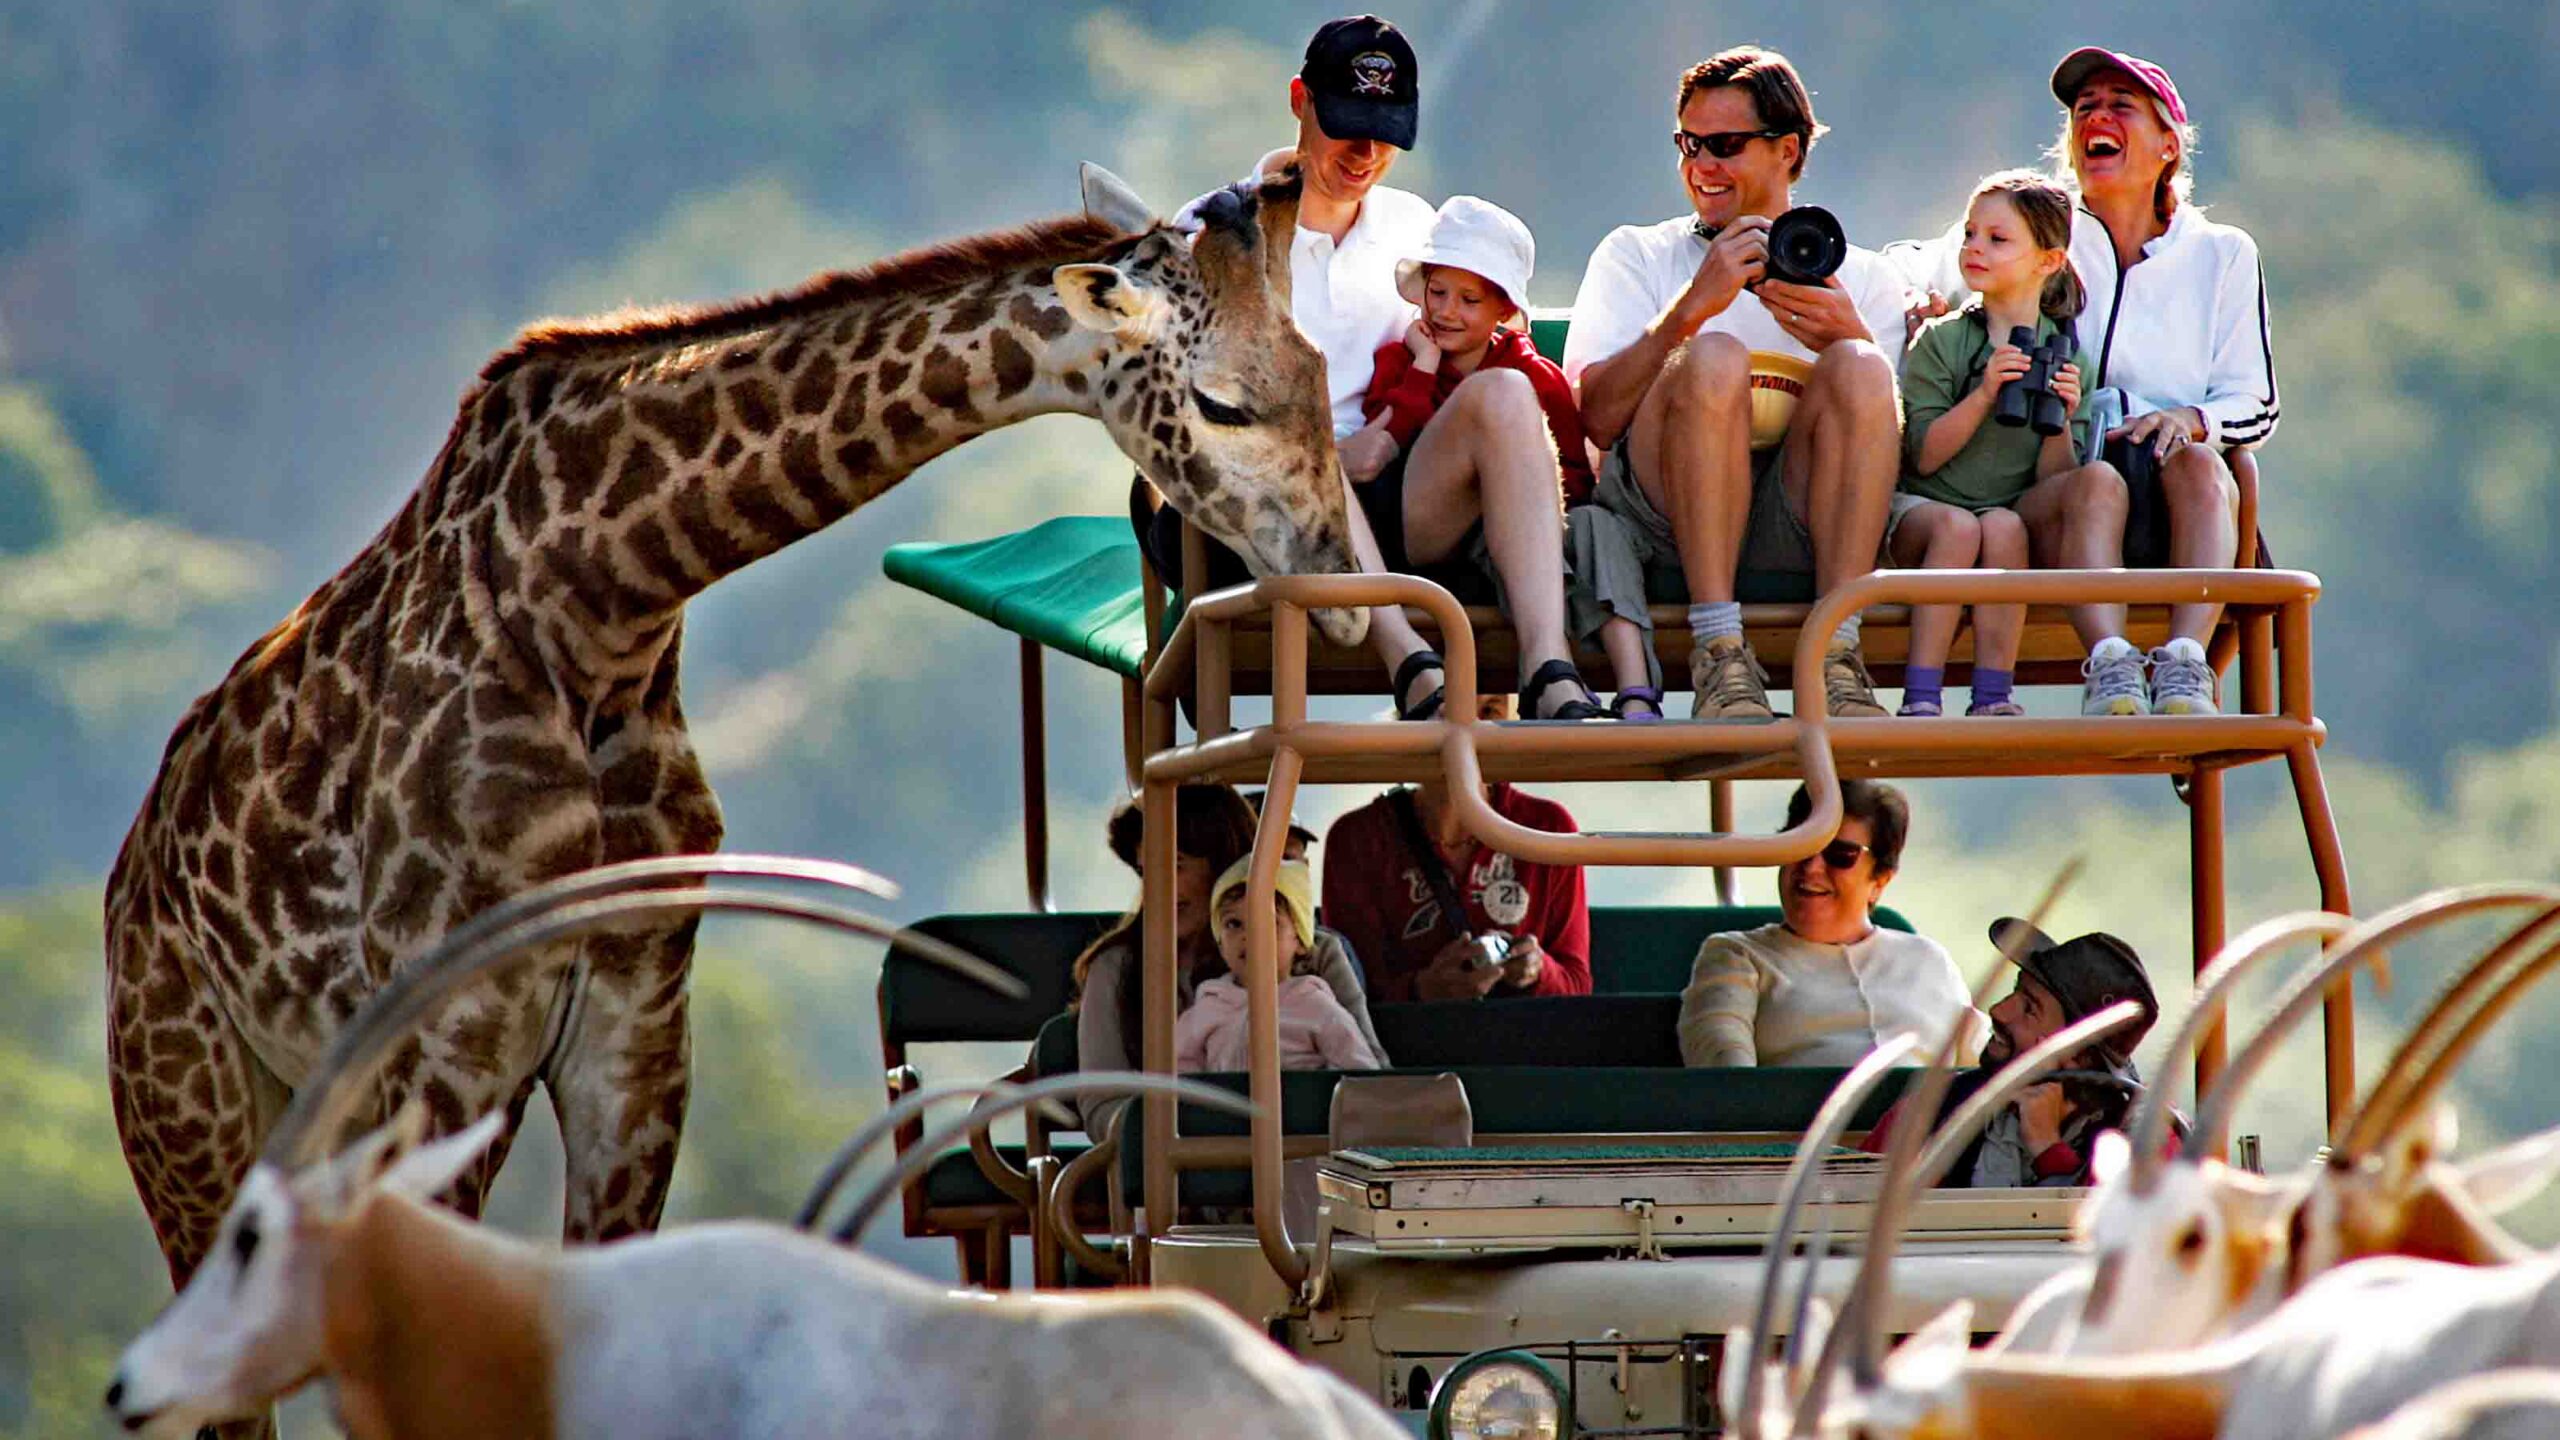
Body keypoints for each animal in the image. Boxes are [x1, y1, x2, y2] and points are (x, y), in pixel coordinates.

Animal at [105, 164, 1359, 1306]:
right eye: (1221, 404)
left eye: (1322, 373)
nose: (1345, 584)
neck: (598, 603)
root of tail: (133, 879)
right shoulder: (451, 1032)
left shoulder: (638, 1016)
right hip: (190, 1106)